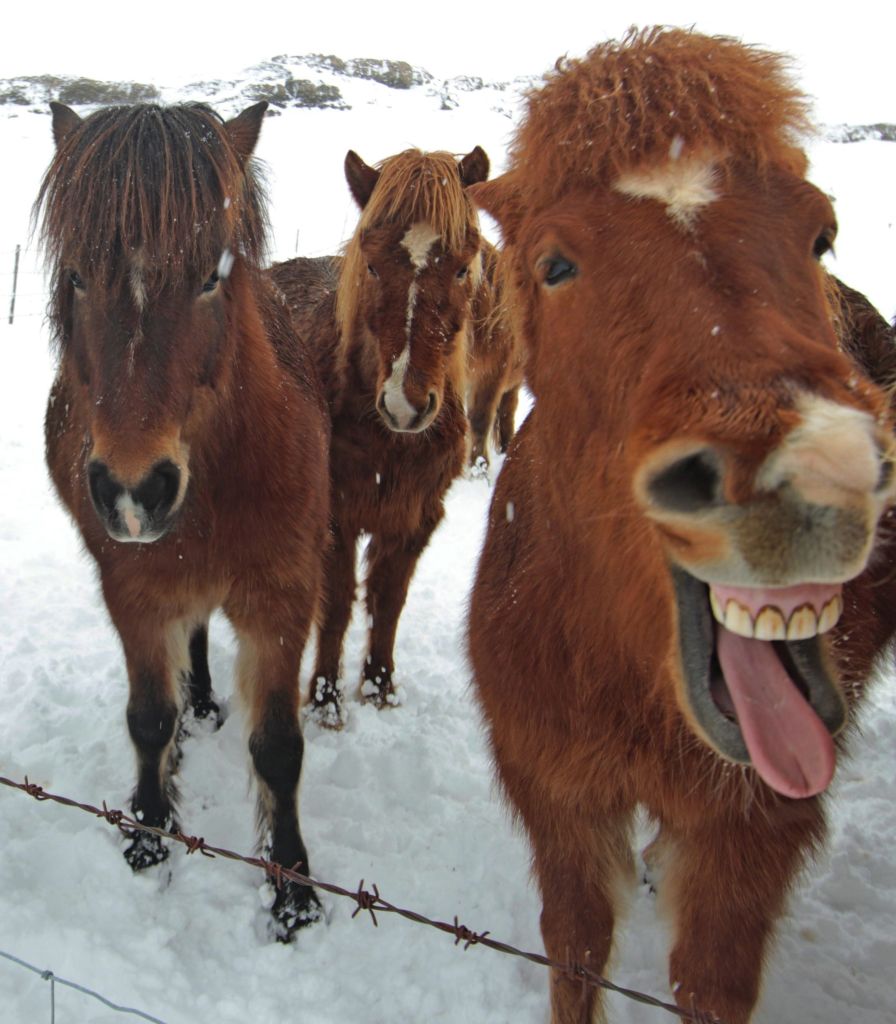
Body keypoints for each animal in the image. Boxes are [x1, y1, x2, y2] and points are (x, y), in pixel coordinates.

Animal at [36, 101, 331, 940]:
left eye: (210, 277)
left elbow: (279, 749)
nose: (136, 490)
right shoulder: (134, 594)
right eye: (77, 274)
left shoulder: (283, 596)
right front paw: (147, 828)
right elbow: (147, 720)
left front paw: (292, 888)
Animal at [271, 145, 489, 727]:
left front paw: (380, 686)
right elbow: (337, 603)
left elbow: (388, 601)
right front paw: (325, 699)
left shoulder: (414, 519)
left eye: (463, 267)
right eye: (371, 264)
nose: (405, 405)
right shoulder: (337, 517)